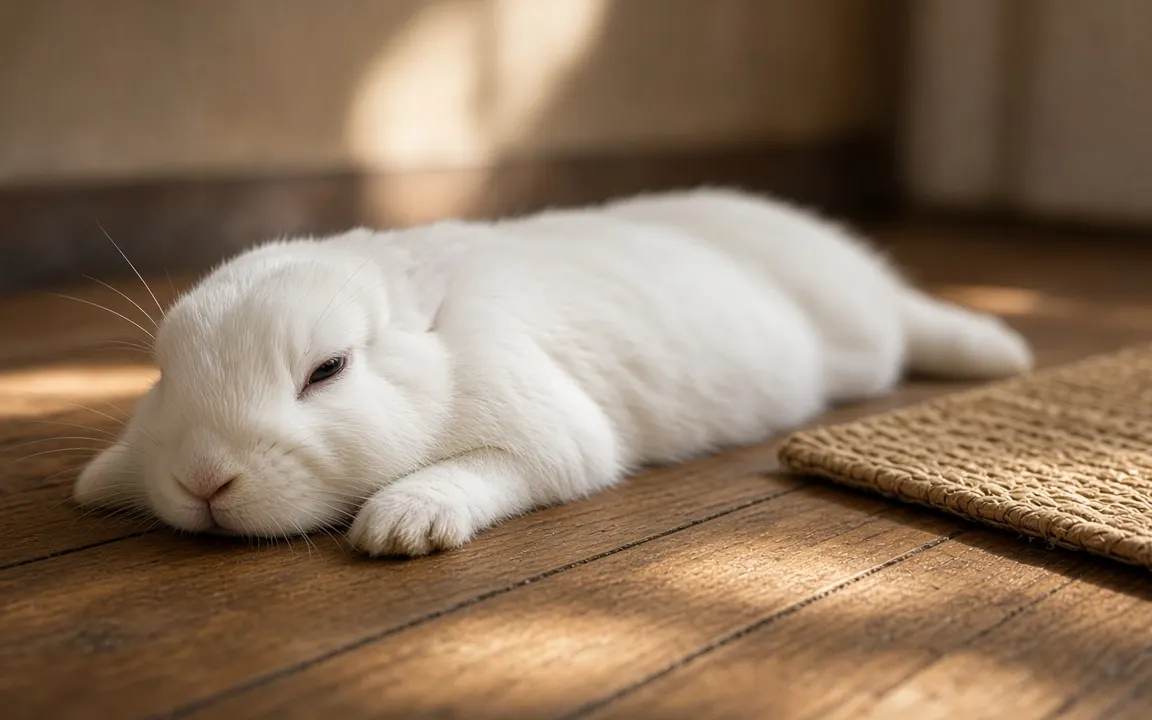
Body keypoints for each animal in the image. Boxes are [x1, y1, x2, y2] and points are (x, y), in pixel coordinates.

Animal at [73, 188, 1033, 557]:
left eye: (328, 370)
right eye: (162, 376)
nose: (203, 481)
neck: (440, 339)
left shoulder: (544, 437)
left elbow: (483, 471)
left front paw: (401, 526)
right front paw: (101, 480)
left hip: (862, 333)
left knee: (908, 325)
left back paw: (1000, 353)